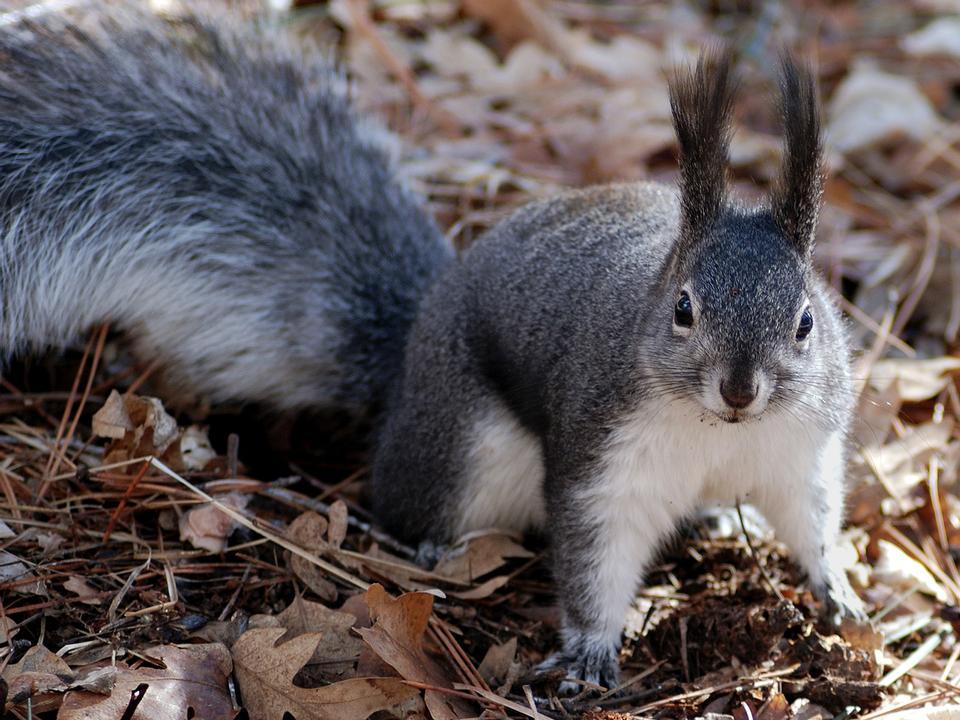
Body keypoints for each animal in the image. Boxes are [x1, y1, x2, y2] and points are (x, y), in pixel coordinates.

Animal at [0, 4, 868, 692]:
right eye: (683, 309)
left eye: (807, 320)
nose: (740, 387)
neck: (719, 432)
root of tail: (413, 348)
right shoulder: (603, 456)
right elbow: (594, 557)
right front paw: (590, 651)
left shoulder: (801, 451)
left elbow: (811, 519)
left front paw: (839, 590)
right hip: (463, 446)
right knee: (408, 495)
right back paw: (421, 543)